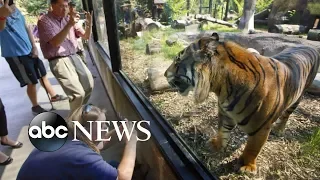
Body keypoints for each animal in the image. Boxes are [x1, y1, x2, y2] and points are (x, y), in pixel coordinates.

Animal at [164, 33, 320, 174]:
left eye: (177, 62)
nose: (165, 74)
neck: (222, 87)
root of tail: (308, 45)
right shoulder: (226, 113)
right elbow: (222, 130)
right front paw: (216, 145)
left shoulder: (261, 128)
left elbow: (252, 147)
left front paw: (247, 166)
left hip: (298, 97)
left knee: (287, 114)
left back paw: (279, 129)